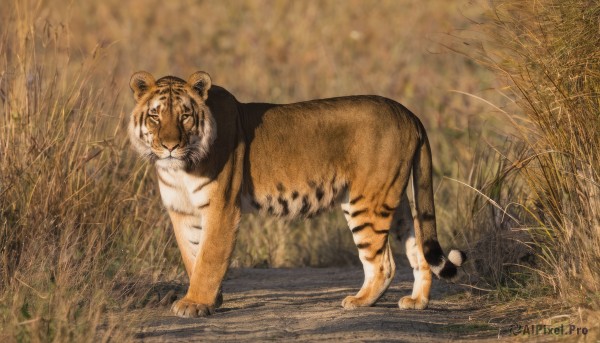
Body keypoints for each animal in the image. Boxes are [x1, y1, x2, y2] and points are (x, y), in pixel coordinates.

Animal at [127, 71, 464, 318]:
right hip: (393, 200)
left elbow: (209, 257)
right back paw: (416, 301)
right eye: (155, 117)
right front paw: (210, 299)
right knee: (418, 247)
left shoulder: (222, 208)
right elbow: (192, 255)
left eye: (185, 116)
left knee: (383, 263)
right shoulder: (182, 211)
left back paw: (359, 301)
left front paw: (196, 303)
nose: (170, 145)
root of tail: (408, 113)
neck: (179, 168)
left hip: (367, 200)